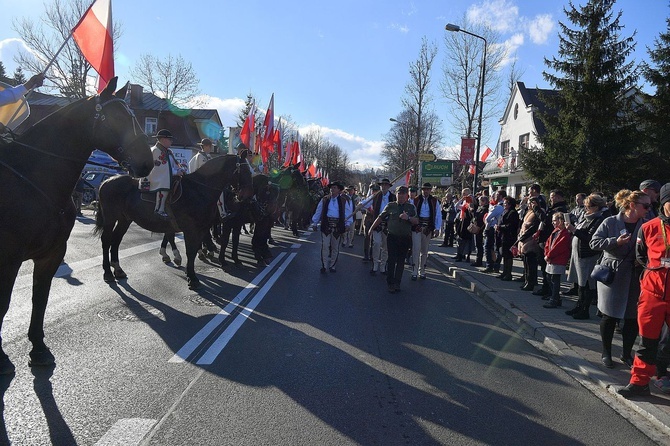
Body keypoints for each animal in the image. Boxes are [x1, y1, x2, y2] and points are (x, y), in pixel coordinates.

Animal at [0, 76, 154, 372]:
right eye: (117, 117)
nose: (148, 162)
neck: (33, 178)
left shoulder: (51, 255)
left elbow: (40, 298)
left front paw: (38, 347)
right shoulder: (8, 259)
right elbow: (4, 304)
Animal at [97, 155, 258, 290]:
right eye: (245, 170)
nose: (248, 196)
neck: (199, 189)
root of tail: (106, 181)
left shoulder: (202, 228)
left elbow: (194, 249)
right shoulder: (191, 229)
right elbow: (191, 251)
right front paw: (192, 278)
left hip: (125, 219)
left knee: (116, 240)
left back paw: (118, 269)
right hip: (110, 219)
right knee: (106, 241)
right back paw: (108, 273)